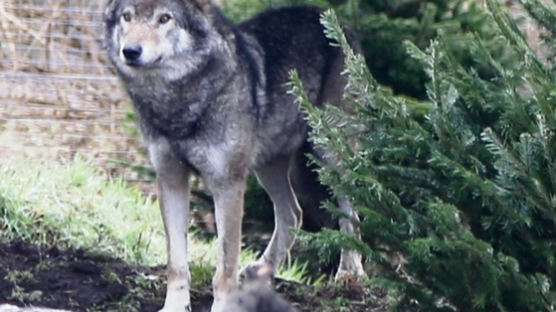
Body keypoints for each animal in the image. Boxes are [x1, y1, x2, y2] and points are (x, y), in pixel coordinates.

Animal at [103, 1, 364, 310]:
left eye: (164, 18)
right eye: (127, 16)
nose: (130, 51)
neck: (181, 104)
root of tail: (339, 23)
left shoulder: (227, 184)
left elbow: (224, 266)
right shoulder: (170, 179)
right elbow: (176, 262)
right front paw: (174, 306)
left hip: (329, 155)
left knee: (351, 208)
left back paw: (350, 272)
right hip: (269, 167)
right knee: (293, 213)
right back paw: (262, 270)